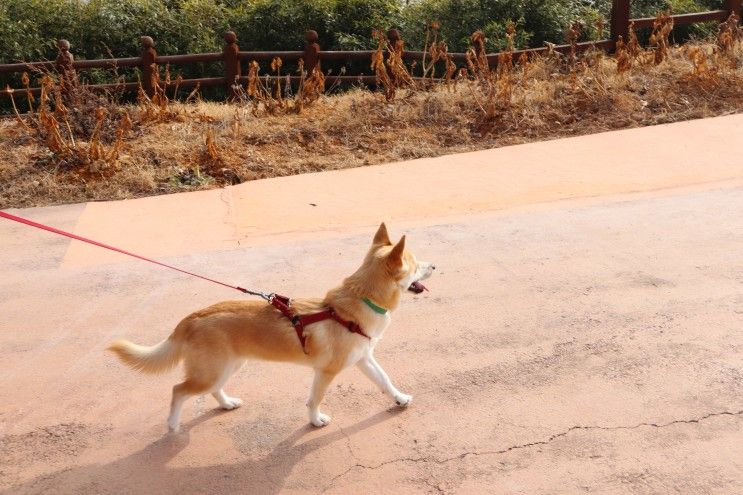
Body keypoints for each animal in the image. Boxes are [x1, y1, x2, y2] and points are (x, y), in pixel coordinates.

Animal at [110, 223, 436, 432]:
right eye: (416, 263)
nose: (435, 265)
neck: (357, 301)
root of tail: (190, 318)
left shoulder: (364, 359)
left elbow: (385, 380)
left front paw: (400, 398)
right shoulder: (326, 372)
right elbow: (315, 399)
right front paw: (315, 421)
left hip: (227, 366)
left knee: (212, 390)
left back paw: (226, 403)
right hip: (210, 371)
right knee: (178, 390)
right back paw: (173, 424)